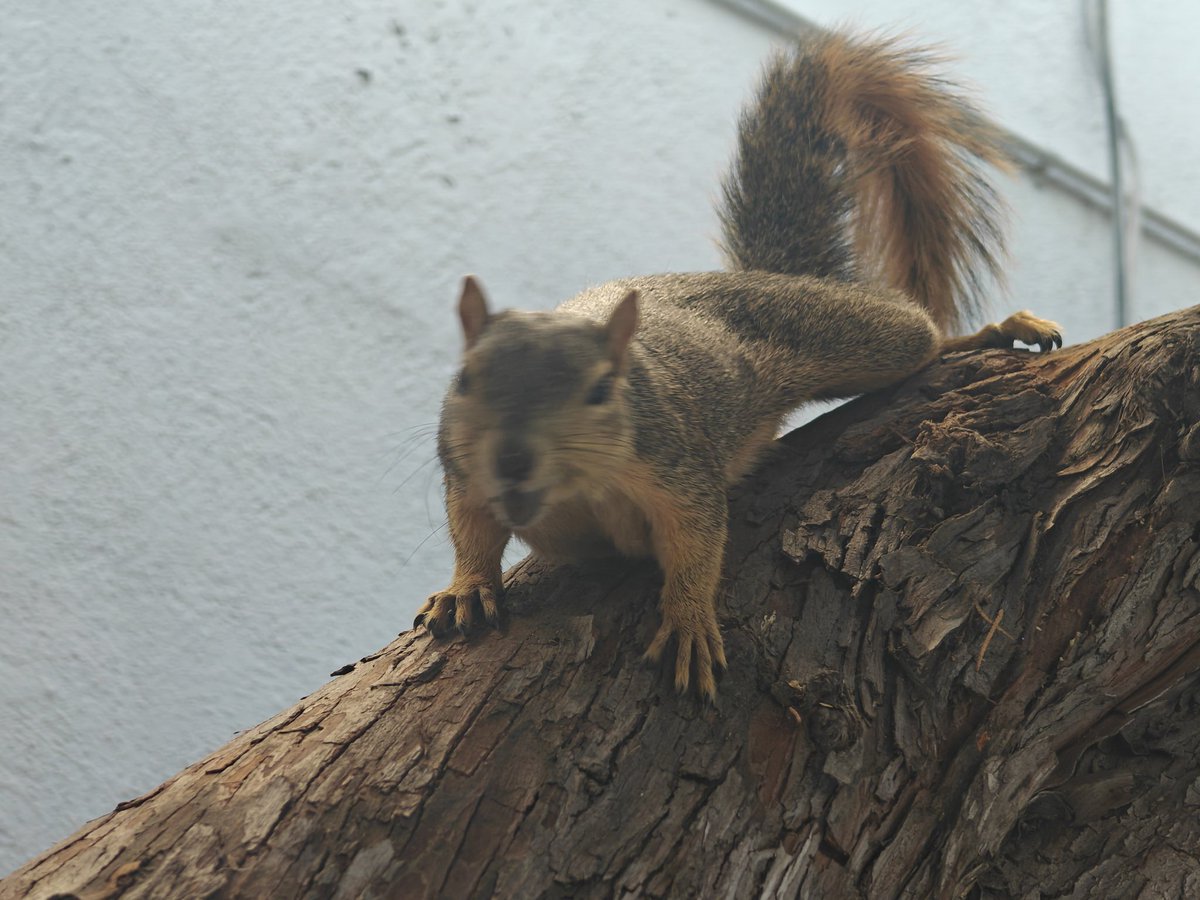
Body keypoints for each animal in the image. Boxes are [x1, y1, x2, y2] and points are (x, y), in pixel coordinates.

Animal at [414, 31, 1061, 701]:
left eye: (600, 391)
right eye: (466, 378)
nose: (513, 458)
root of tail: (757, 276)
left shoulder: (677, 465)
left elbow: (698, 544)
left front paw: (689, 621)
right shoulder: (463, 468)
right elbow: (471, 528)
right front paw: (467, 587)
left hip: (852, 334)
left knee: (919, 338)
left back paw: (987, 334)